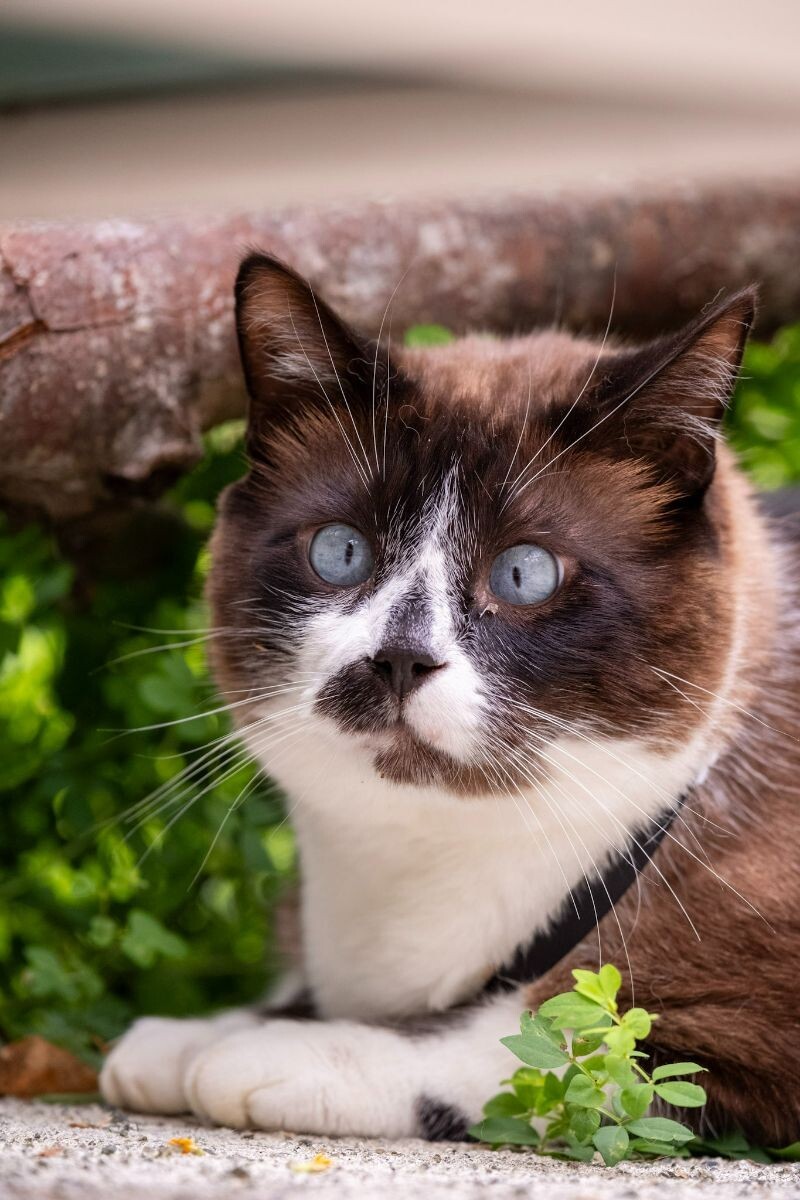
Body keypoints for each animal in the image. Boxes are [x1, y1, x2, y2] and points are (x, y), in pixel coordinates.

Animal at [100, 250, 800, 1142]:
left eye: (525, 572)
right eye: (340, 552)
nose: (400, 659)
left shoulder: (750, 1008)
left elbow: (556, 1040)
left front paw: (282, 1052)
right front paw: (197, 1035)